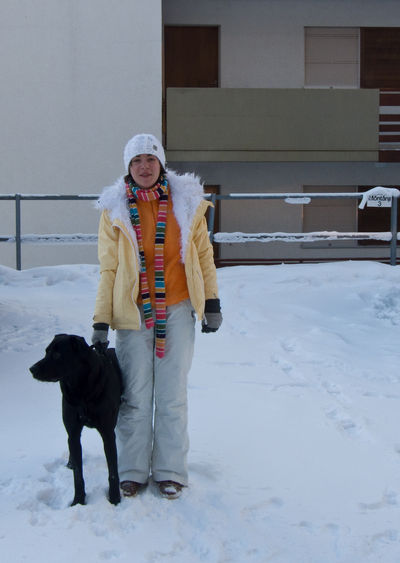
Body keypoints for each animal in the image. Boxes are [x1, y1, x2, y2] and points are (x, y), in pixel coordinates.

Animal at [30, 334, 122, 506]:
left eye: (57, 355)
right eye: (46, 351)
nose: (32, 369)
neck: (81, 390)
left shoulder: (107, 433)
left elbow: (113, 471)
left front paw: (114, 498)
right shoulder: (73, 432)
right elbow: (78, 475)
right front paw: (78, 500)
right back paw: (71, 462)